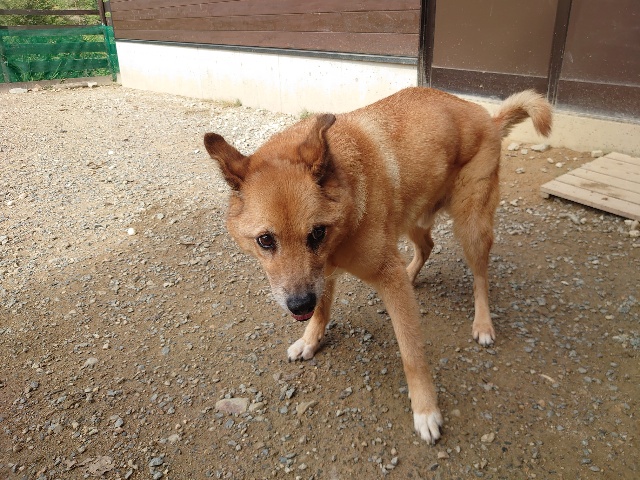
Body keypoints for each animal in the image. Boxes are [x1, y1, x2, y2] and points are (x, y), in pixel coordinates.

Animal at [204, 87, 552, 444]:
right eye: (265, 240)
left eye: (316, 233)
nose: (298, 305)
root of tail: (489, 118)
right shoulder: (323, 274)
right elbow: (322, 309)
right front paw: (311, 340)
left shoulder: (378, 274)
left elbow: (412, 354)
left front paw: (425, 409)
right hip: (412, 218)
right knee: (426, 247)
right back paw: (412, 275)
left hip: (471, 227)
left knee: (481, 277)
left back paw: (483, 323)